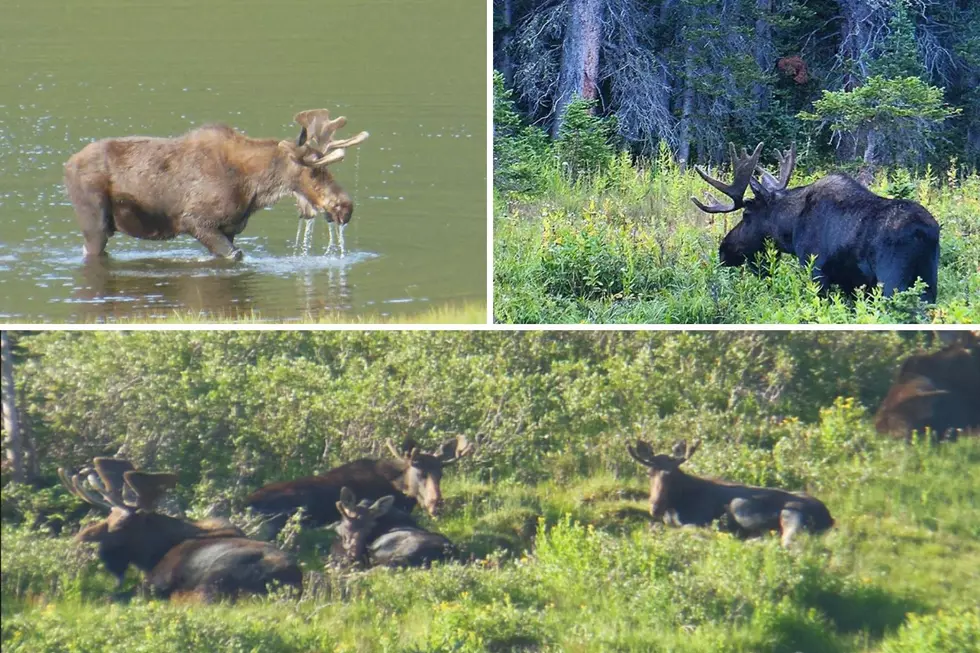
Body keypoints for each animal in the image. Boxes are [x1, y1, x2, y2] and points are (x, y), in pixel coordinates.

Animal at [59, 456, 300, 600]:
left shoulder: (154, 581)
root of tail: (291, 578)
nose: (81, 539)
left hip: (216, 576)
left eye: (122, 524)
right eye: (108, 519)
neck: (152, 553)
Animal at [62, 109, 368, 260]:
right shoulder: (197, 221)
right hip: (95, 221)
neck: (253, 189)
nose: (346, 207)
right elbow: (234, 256)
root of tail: (66, 164)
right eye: (315, 172)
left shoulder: (230, 228)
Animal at [628, 438, 836, 544]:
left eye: (672, 475)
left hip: (746, 506)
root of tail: (829, 518)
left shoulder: (698, 519)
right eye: (649, 472)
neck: (676, 505)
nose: (655, 507)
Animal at [688, 143, 940, 304]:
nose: (724, 250)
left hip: (893, 281)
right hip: (928, 281)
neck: (791, 229)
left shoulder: (816, 270)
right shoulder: (851, 284)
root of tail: (925, 233)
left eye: (746, 214)